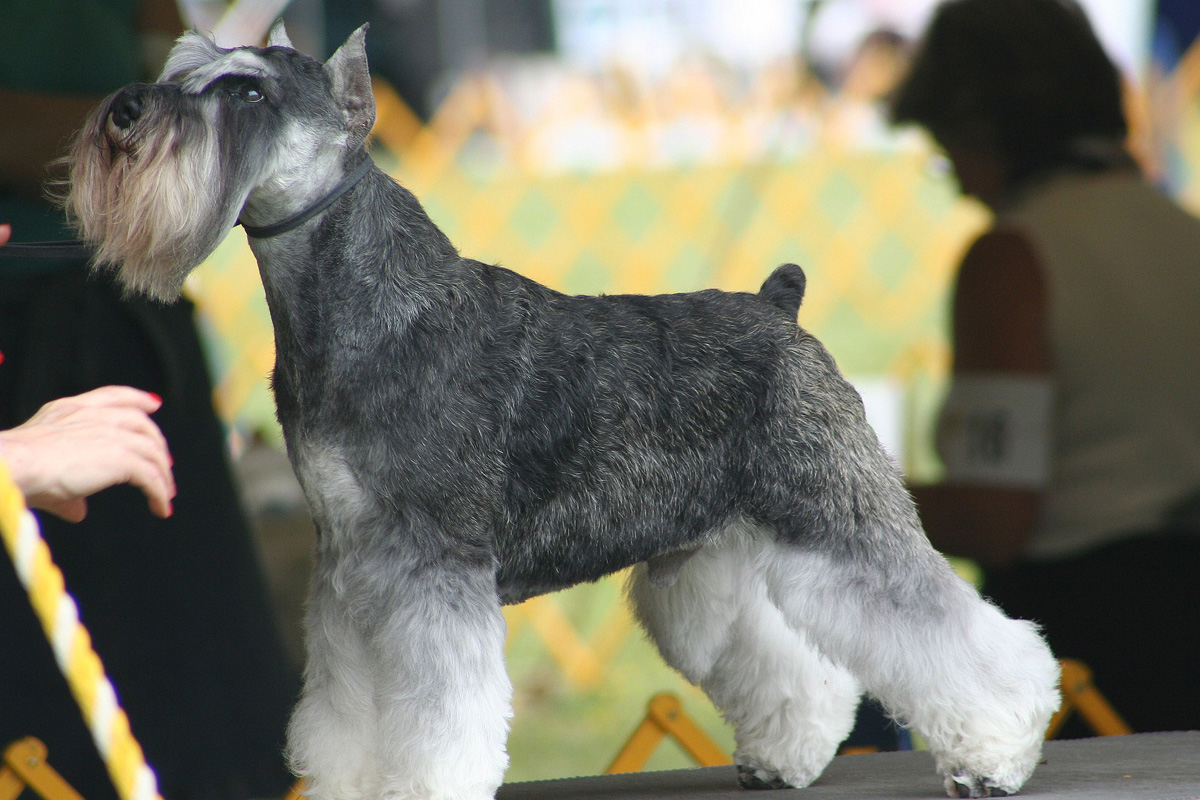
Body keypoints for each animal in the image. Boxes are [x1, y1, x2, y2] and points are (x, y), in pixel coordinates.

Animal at [63, 25, 1060, 800]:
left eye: (246, 89)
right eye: (188, 62)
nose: (123, 114)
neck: (359, 308)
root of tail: (779, 308)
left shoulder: (432, 573)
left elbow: (438, 718)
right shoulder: (348, 571)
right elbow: (346, 708)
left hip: (838, 520)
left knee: (959, 635)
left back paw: (997, 755)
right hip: (709, 556)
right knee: (791, 660)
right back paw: (786, 756)